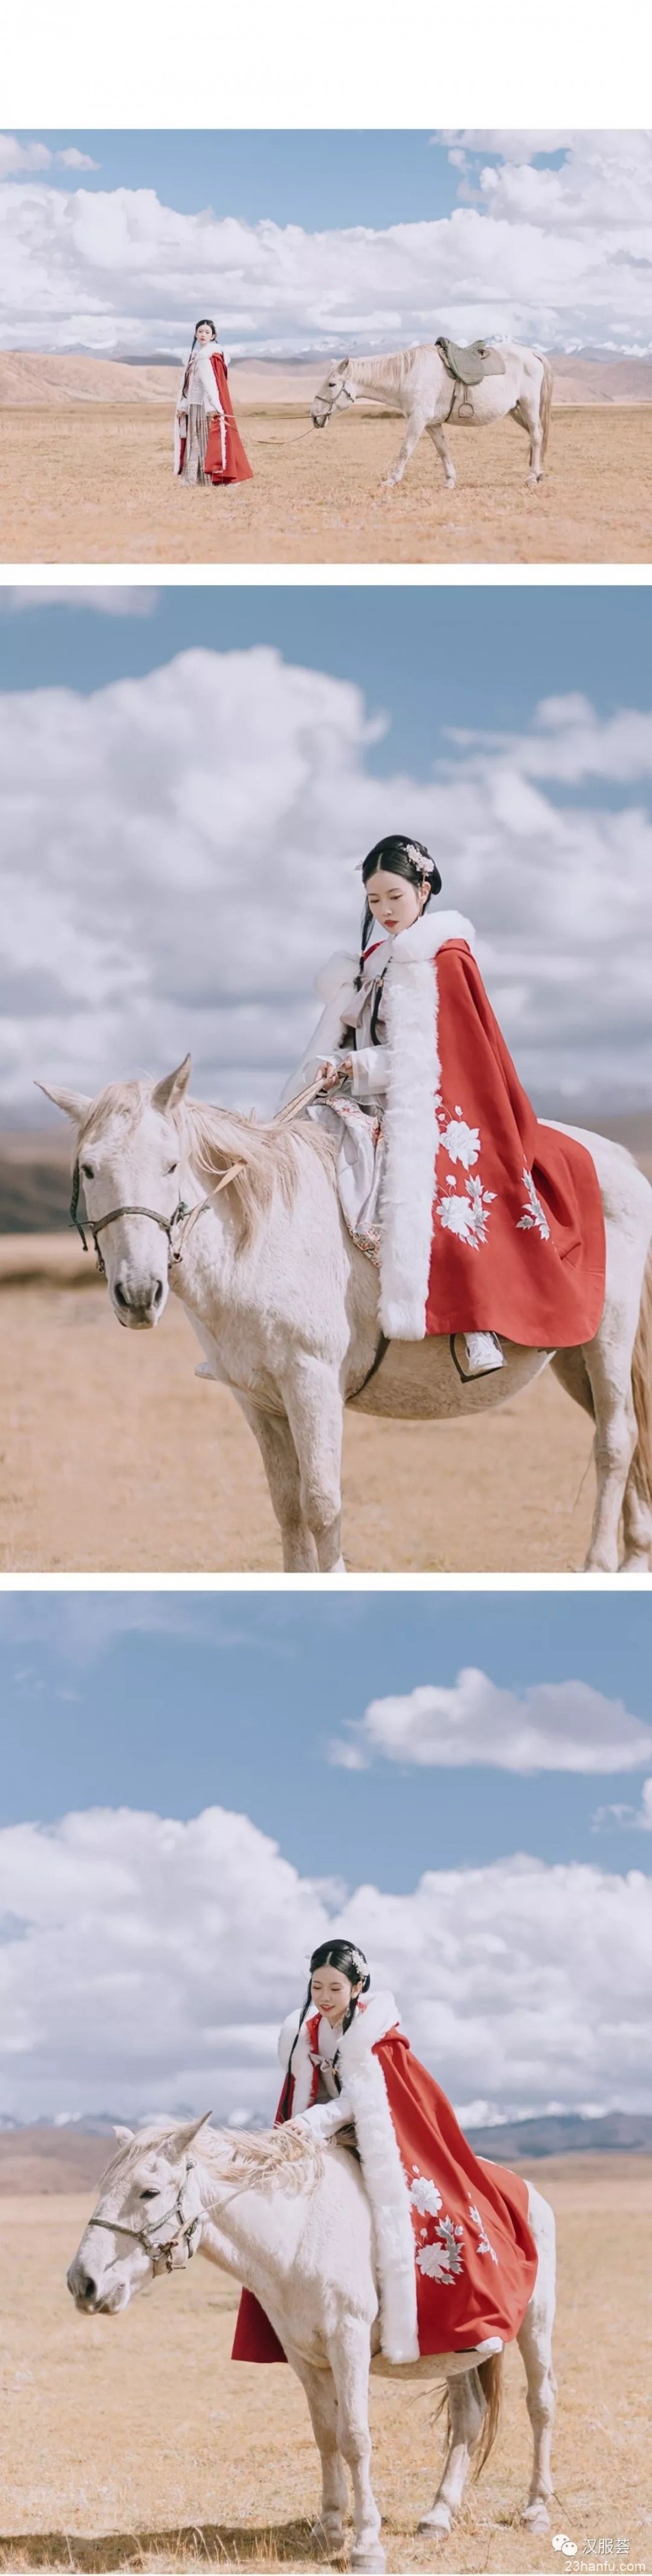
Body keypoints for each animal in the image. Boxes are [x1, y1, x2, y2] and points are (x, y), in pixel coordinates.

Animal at [43, 1056, 652, 1576]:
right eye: (89, 1169)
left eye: (170, 1164)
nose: (139, 1293)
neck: (259, 1241)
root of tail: (621, 1161)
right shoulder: (256, 1399)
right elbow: (286, 1507)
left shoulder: (311, 1383)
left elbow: (321, 1504)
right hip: (571, 1357)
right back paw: (633, 1557)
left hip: (608, 1339)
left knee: (615, 1440)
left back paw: (600, 1564)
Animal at [65, 2122, 554, 2566]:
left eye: (148, 2192)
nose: (82, 2282)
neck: (297, 2236)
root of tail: (527, 2189)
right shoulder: (303, 2356)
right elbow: (325, 2435)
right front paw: (329, 2528)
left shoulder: (348, 2342)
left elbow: (354, 2437)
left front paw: (366, 2543)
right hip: (457, 2352)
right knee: (468, 2414)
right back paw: (438, 2516)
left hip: (536, 2325)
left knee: (540, 2404)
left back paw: (536, 2509)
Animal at [308, 340, 551, 484]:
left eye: (331, 384)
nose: (315, 416)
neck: (408, 374)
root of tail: (533, 353)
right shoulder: (433, 424)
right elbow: (443, 450)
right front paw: (450, 481)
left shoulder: (418, 420)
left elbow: (405, 450)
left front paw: (392, 480)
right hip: (517, 410)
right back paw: (538, 473)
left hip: (529, 405)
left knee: (537, 435)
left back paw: (532, 477)